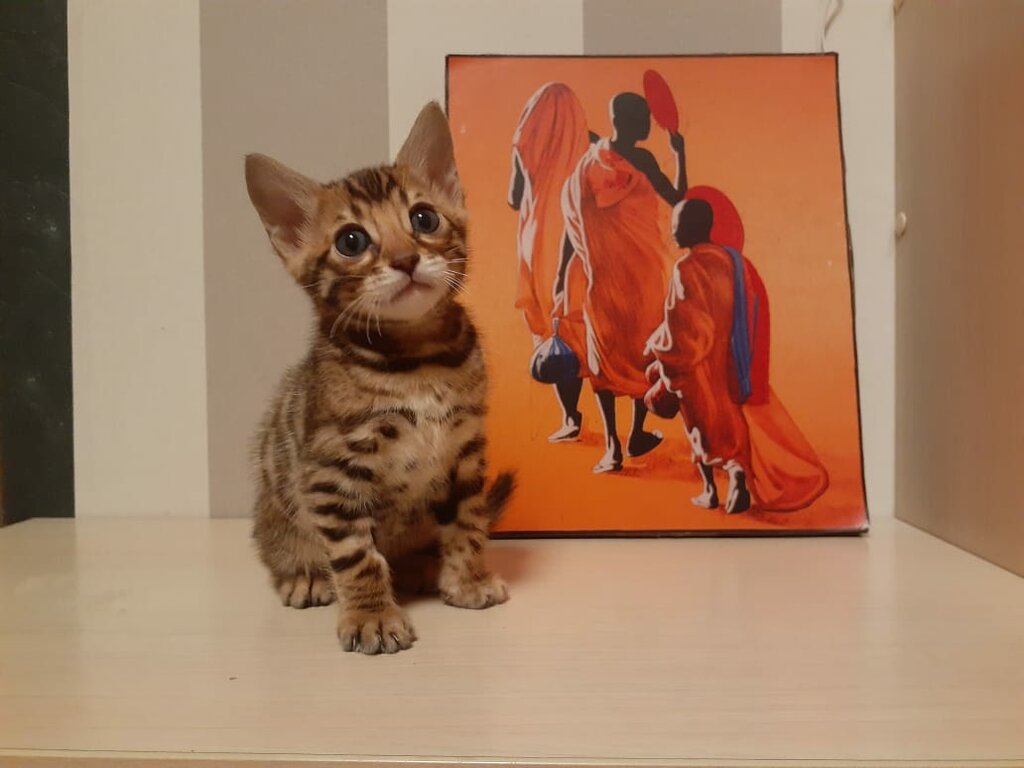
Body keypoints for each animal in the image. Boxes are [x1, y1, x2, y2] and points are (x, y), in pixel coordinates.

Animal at [244, 102, 514, 655]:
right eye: (352, 241)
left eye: (423, 218)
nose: (407, 259)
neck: (418, 362)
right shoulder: (333, 471)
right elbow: (356, 554)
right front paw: (372, 614)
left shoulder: (465, 452)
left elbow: (468, 522)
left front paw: (467, 581)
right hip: (276, 506)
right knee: (285, 548)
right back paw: (305, 575)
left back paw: (423, 568)